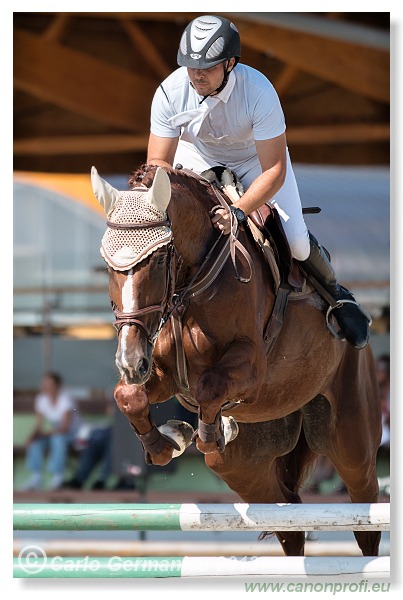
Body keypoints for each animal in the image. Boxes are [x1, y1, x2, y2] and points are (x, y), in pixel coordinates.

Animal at [90, 162, 382, 556]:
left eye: (159, 258)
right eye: (107, 263)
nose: (129, 362)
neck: (193, 285)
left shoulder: (250, 368)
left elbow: (209, 387)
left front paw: (199, 433)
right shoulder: (163, 373)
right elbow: (128, 395)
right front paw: (168, 441)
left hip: (353, 441)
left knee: (365, 514)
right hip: (248, 463)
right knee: (288, 515)